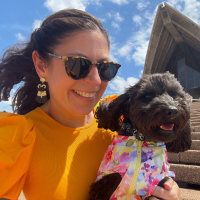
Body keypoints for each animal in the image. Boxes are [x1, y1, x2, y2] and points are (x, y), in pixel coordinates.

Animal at [88, 72, 191, 200]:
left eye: (174, 94)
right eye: (147, 96)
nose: (172, 110)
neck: (141, 139)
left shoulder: (160, 180)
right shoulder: (105, 179)